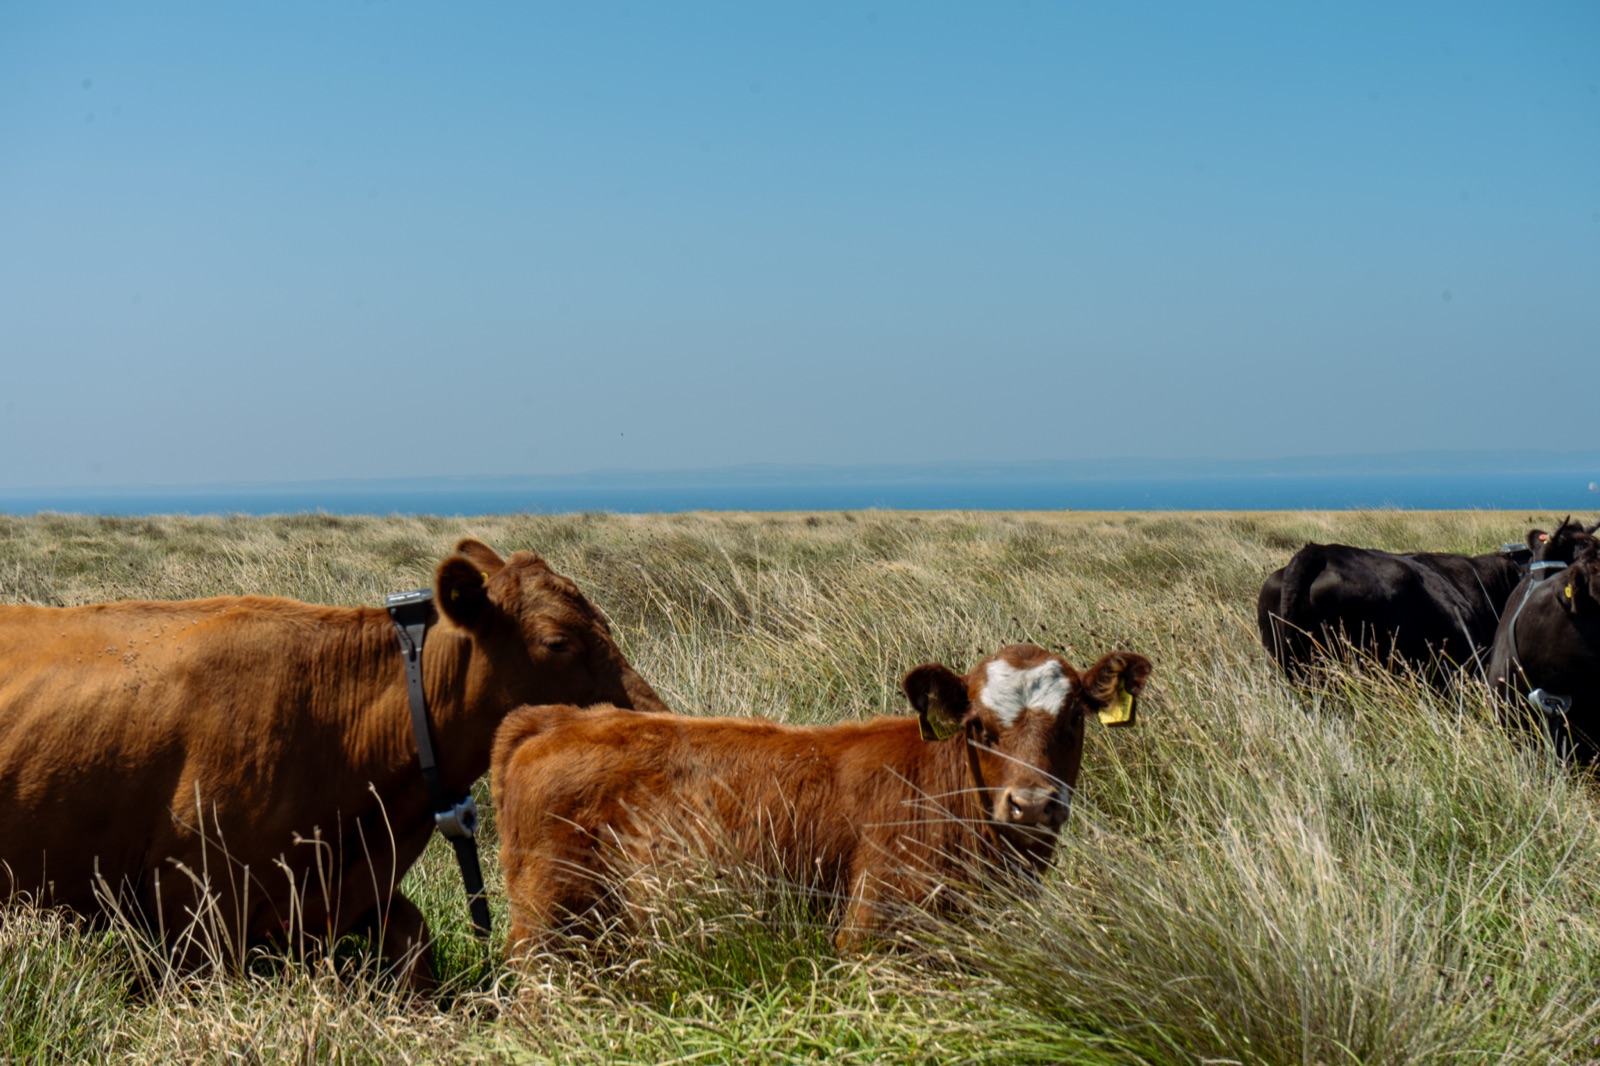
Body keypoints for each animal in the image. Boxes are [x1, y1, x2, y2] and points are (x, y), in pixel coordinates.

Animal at [491, 643, 1151, 954]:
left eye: (1074, 721)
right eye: (979, 728)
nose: (1032, 804)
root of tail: (555, 720)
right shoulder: (873, 930)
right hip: (549, 931)